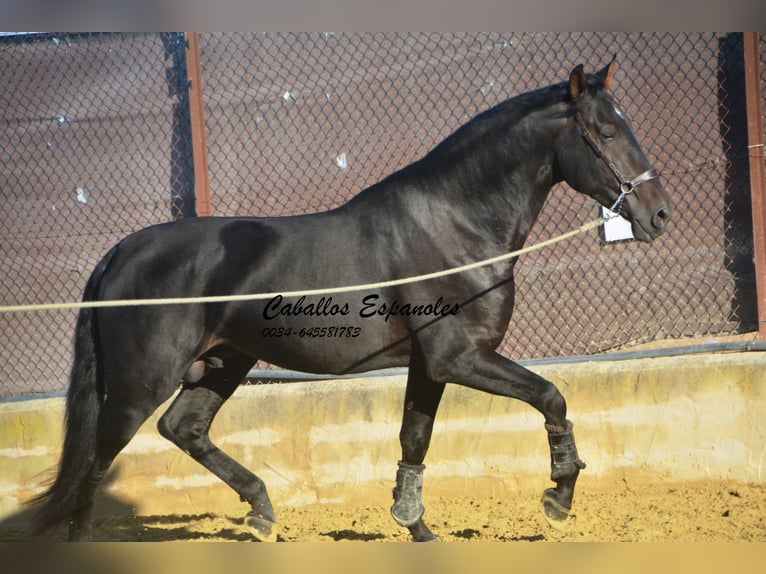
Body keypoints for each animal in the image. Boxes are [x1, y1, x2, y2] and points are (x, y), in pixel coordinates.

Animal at [30, 60, 672, 544]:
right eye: (606, 133)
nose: (659, 215)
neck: (454, 226)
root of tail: (122, 251)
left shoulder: (428, 365)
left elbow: (415, 438)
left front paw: (415, 526)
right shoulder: (459, 357)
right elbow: (551, 397)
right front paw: (559, 496)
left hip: (223, 361)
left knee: (182, 428)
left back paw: (261, 511)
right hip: (142, 382)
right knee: (98, 459)